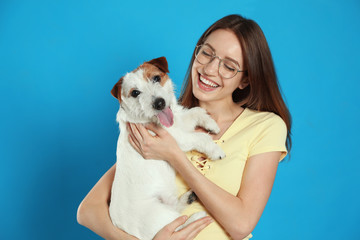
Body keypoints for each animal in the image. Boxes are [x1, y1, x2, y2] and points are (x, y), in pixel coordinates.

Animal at [109, 56, 225, 240]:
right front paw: (215, 150)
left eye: (156, 78)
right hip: (159, 216)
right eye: (135, 93)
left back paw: (188, 198)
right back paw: (197, 217)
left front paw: (211, 124)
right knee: (178, 225)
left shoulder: (180, 122)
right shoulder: (178, 139)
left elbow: (196, 111)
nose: (159, 103)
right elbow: (200, 137)